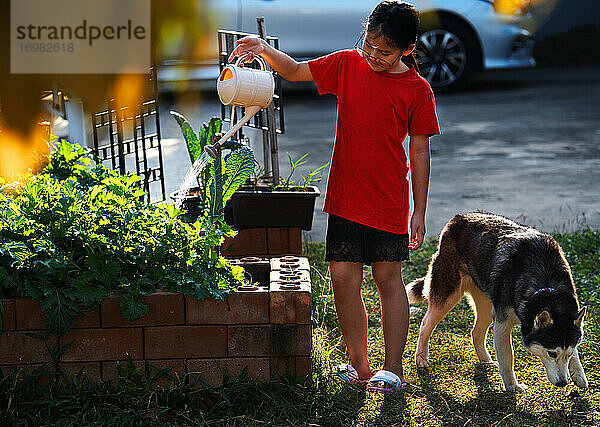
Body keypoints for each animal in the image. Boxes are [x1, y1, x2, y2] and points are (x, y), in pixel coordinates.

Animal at [408, 212, 584, 392]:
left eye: (568, 354)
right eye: (551, 353)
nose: (562, 383)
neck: (545, 283)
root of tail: (458, 218)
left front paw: (578, 374)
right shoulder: (502, 323)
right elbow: (507, 358)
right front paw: (513, 386)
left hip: (486, 306)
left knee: (476, 332)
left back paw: (486, 361)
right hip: (448, 295)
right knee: (425, 324)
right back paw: (421, 359)